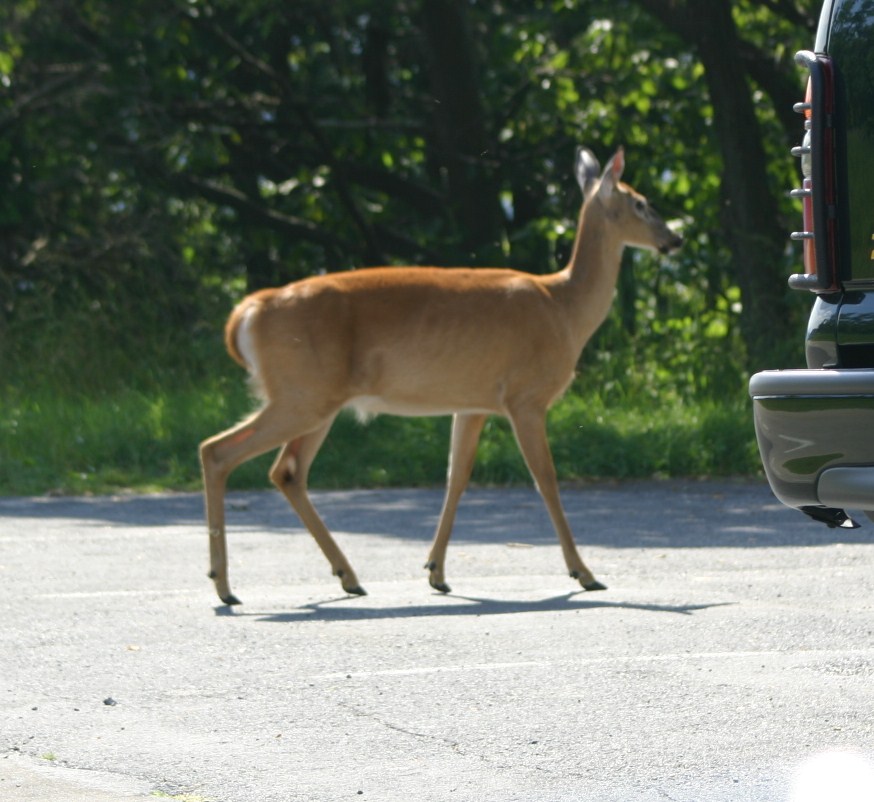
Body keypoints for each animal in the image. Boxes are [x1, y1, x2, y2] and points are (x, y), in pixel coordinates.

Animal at [199, 147, 680, 604]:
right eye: (640, 203)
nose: (675, 238)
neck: (564, 307)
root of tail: (247, 313)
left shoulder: (472, 403)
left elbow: (456, 477)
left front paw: (436, 572)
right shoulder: (525, 396)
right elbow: (546, 479)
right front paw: (584, 573)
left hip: (315, 400)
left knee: (286, 471)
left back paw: (346, 578)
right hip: (302, 393)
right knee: (218, 451)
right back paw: (225, 586)